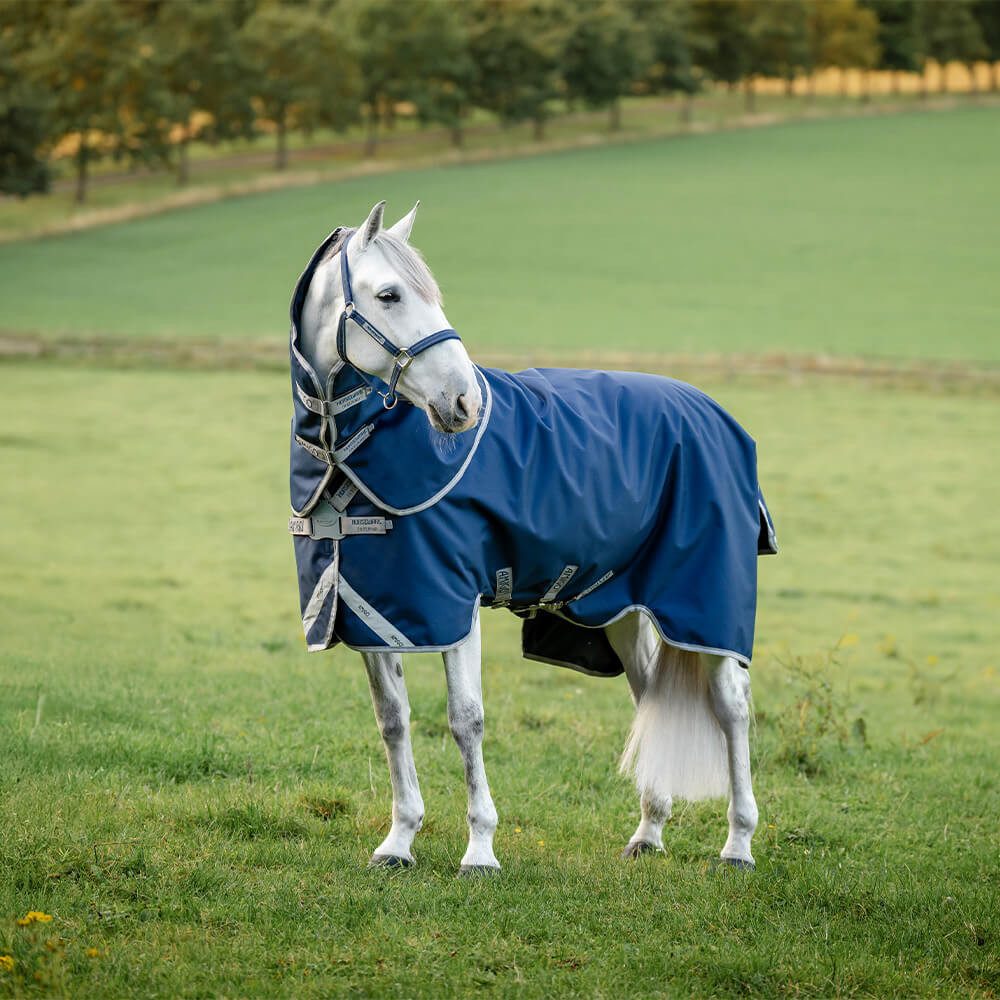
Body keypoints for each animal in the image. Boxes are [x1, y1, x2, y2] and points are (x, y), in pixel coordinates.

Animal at [288, 201, 776, 875]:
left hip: (704, 605)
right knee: (650, 697)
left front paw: (480, 849)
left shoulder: (454, 604)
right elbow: (392, 720)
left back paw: (738, 844)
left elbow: (465, 720)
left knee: (732, 707)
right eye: (388, 295)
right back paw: (649, 831)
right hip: (623, 608)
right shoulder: (374, 611)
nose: (463, 402)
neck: (350, 457)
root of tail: (712, 412)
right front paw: (399, 841)